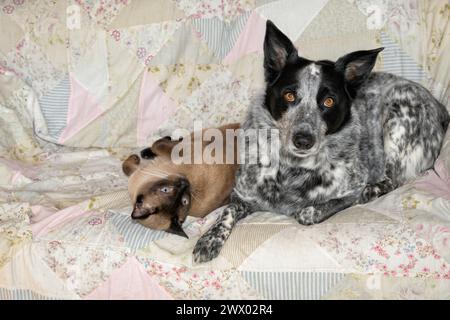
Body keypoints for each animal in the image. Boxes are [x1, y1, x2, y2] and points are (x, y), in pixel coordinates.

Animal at [192, 21, 448, 264]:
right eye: (289, 95)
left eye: (328, 101)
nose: (303, 140)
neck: (290, 169)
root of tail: (440, 106)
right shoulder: (242, 195)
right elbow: (227, 212)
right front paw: (209, 239)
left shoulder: (351, 188)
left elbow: (318, 209)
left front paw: (313, 210)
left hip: (398, 120)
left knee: (392, 179)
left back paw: (374, 189)